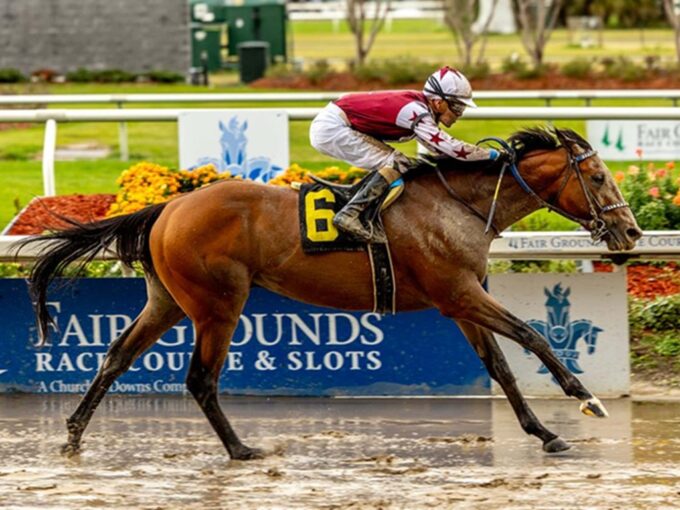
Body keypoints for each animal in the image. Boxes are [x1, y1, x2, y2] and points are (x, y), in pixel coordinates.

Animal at [17, 126, 644, 458]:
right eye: (596, 177)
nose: (631, 232)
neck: (458, 205)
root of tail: (168, 207)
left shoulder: (462, 300)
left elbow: (502, 368)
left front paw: (545, 433)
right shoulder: (460, 295)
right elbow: (532, 338)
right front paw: (585, 399)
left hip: (168, 299)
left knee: (117, 355)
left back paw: (73, 435)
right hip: (219, 305)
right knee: (200, 378)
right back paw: (241, 449)